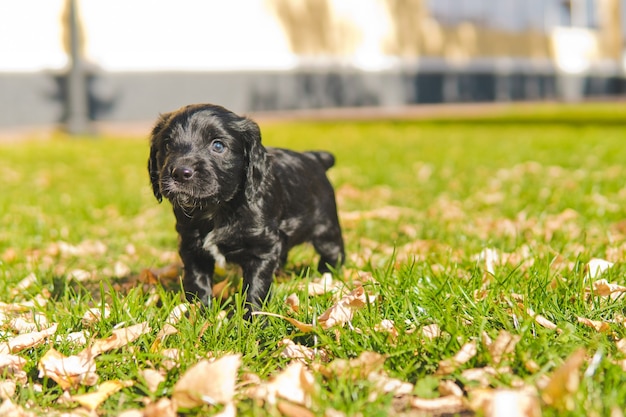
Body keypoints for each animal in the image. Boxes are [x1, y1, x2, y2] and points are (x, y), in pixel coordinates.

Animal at [148, 102, 344, 314]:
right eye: (167, 145)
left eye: (218, 145)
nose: (180, 173)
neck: (216, 208)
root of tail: (314, 158)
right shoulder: (191, 246)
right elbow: (197, 282)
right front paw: (200, 314)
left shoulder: (262, 248)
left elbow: (255, 286)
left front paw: (253, 317)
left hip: (326, 230)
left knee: (334, 253)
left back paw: (327, 278)